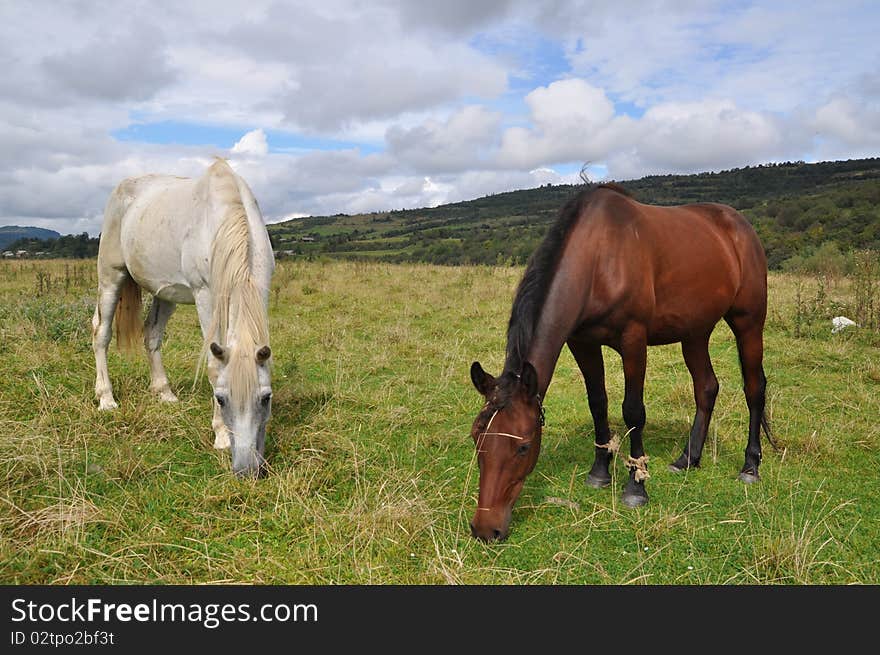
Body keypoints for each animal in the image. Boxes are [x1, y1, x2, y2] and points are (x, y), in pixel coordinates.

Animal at [91, 159, 274, 476]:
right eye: (220, 398)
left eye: (266, 398)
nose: (246, 469)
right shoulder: (205, 296)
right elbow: (214, 365)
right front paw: (220, 435)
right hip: (111, 277)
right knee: (100, 332)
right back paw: (106, 398)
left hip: (165, 293)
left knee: (151, 335)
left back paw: (164, 393)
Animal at [468, 184, 768, 544]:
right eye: (477, 439)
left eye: (523, 447)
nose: (485, 528)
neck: (599, 259)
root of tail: (739, 226)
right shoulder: (582, 342)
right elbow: (598, 403)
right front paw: (599, 471)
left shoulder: (633, 339)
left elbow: (633, 411)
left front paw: (636, 486)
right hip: (695, 331)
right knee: (707, 388)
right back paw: (687, 459)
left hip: (748, 322)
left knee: (754, 389)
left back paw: (750, 466)